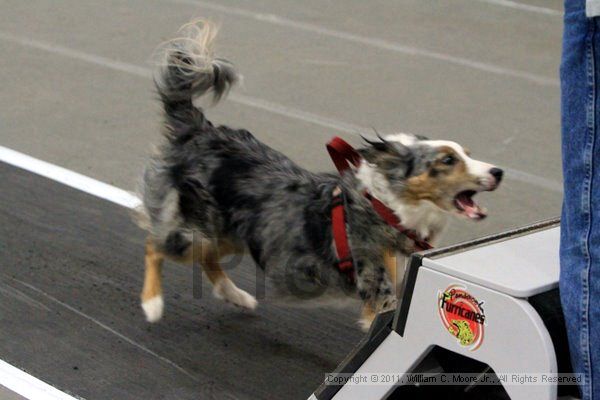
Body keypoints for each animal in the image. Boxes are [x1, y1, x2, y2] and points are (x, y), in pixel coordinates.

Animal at [136, 19, 502, 332]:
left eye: (468, 153)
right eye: (447, 160)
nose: (498, 171)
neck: (387, 210)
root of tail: (199, 130)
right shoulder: (376, 285)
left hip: (230, 232)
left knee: (207, 258)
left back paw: (236, 296)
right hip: (195, 226)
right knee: (155, 243)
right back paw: (152, 304)